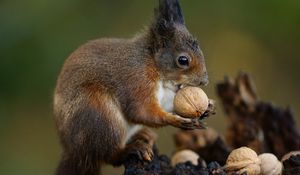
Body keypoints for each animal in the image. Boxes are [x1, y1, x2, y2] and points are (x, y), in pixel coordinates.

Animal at [53, 0, 211, 175]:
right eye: (183, 60)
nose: (205, 81)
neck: (153, 64)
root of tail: (74, 152)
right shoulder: (137, 81)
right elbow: (141, 111)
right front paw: (176, 120)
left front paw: (209, 106)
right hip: (100, 117)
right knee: (110, 156)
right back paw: (131, 149)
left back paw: (144, 135)